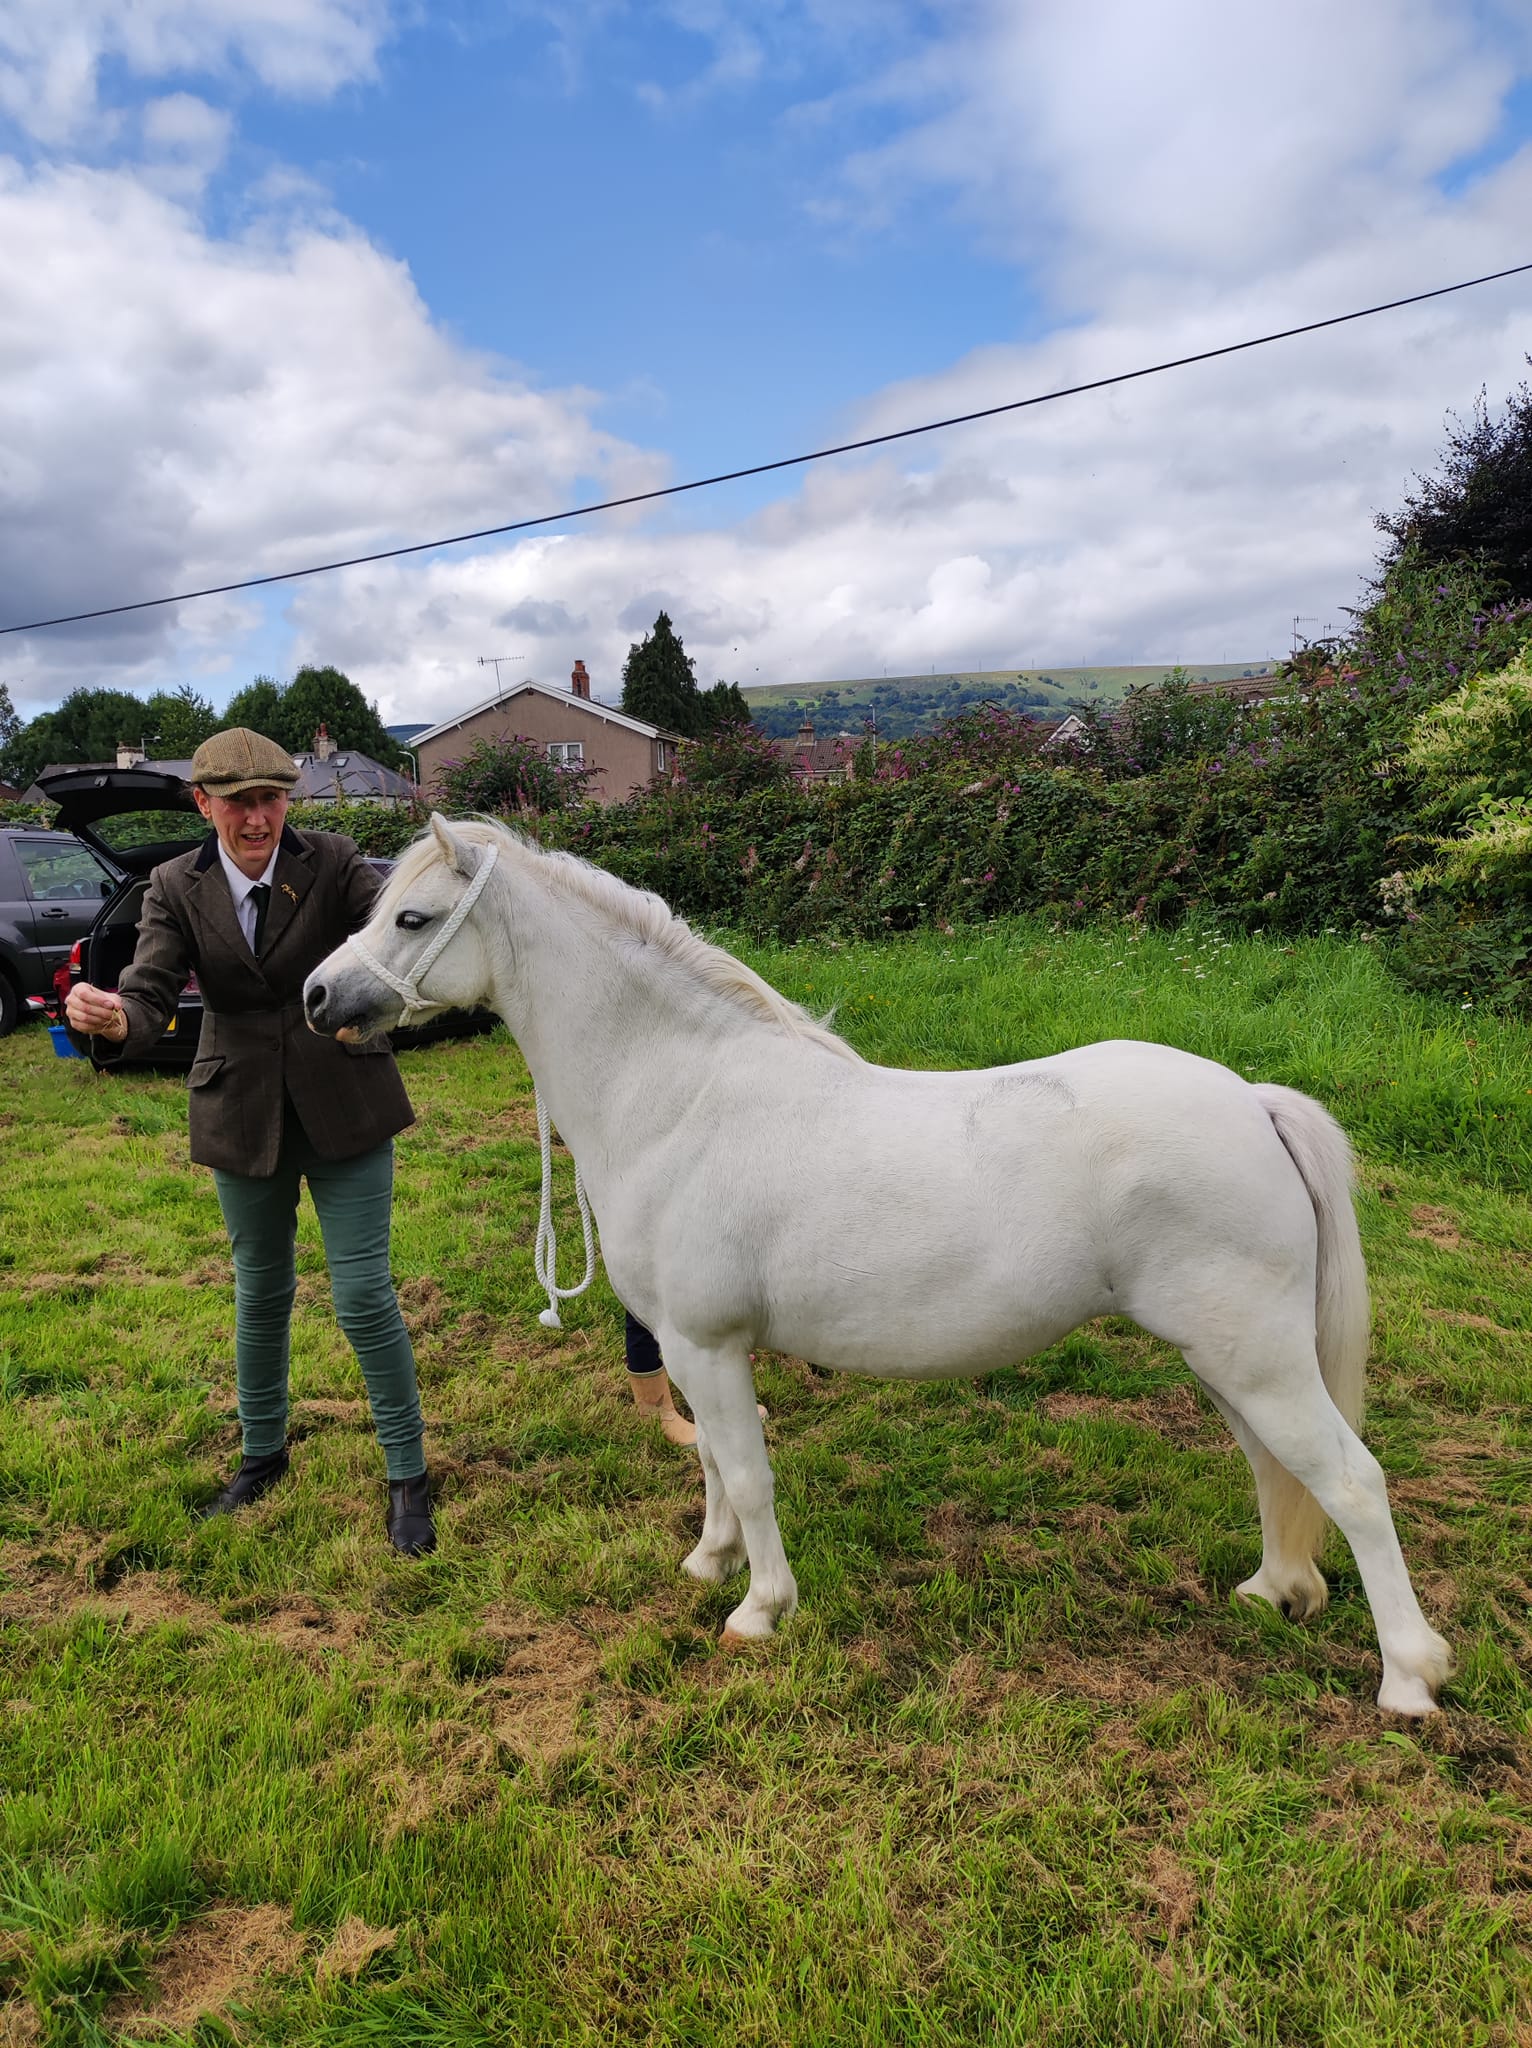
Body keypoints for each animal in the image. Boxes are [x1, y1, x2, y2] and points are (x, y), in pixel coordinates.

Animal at [303, 814, 1452, 1717]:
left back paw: (1407, 1678)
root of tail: (1252, 1099)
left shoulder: (709, 1344)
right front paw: (708, 1559)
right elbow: (712, 1461)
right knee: (1274, 1467)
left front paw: (758, 1607)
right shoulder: (684, 1344)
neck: (680, 1095)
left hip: (1254, 1355)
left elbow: (749, 1473)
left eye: (411, 919)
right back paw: (1273, 1591)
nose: (316, 996)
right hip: (1229, 1361)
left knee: (1351, 1481)